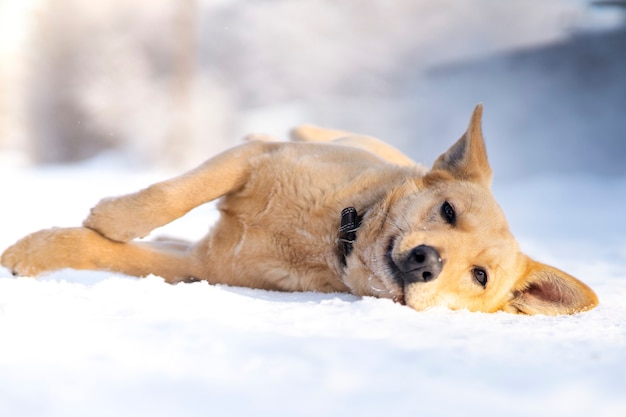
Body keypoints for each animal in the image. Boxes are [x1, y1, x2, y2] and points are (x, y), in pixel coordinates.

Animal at [0, 105, 596, 314]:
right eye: (448, 211)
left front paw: (33, 254)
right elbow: (169, 196)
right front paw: (112, 217)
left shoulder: (199, 266)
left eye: (479, 276)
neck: (331, 236)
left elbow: (106, 252)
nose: (427, 262)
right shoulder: (253, 158)